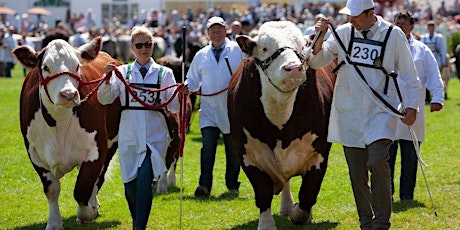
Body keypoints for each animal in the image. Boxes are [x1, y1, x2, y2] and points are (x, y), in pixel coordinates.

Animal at [13, 36, 122, 229]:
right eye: (46, 67)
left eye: (77, 66)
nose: (69, 94)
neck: (59, 122)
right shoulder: (35, 154)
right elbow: (51, 189)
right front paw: (54, 222)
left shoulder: (97, 150)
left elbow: (83, 188)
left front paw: (89, 212)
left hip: (111, 144)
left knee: (98, 178)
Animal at [228, 21, 336, 228]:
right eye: (264, 48)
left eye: (302, 47)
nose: (293, 68)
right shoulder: (247, 155)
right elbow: (263, 192)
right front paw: (266, 224)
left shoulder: (319, 153)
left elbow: (308, 194)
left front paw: (300, 214)